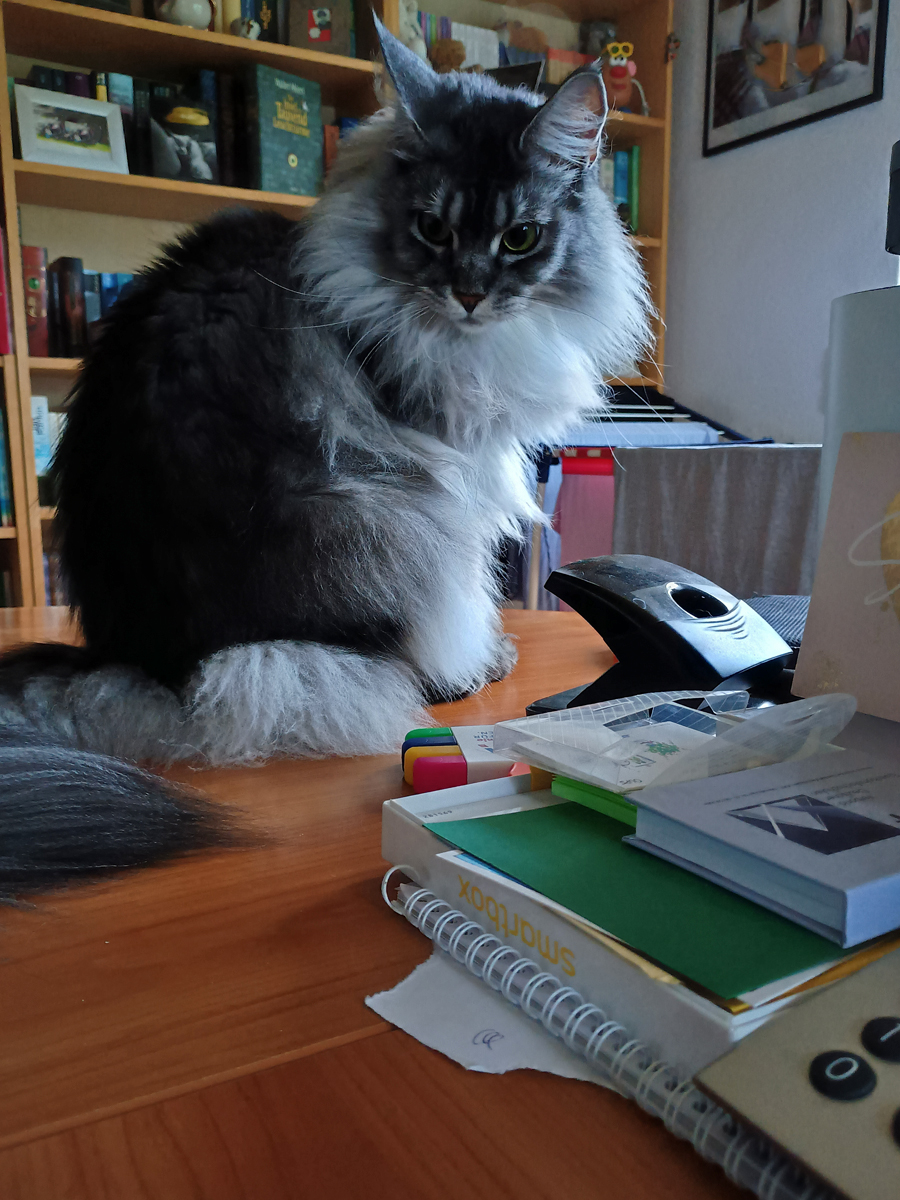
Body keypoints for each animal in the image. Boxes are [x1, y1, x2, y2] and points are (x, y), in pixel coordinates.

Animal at [0, 22, 650, 899]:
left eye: (520, 237)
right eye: (433, 229)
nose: (469, 293)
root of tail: (151, 662)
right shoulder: (458, 469)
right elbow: (472, 595)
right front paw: (481, 657)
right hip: (398, 516)